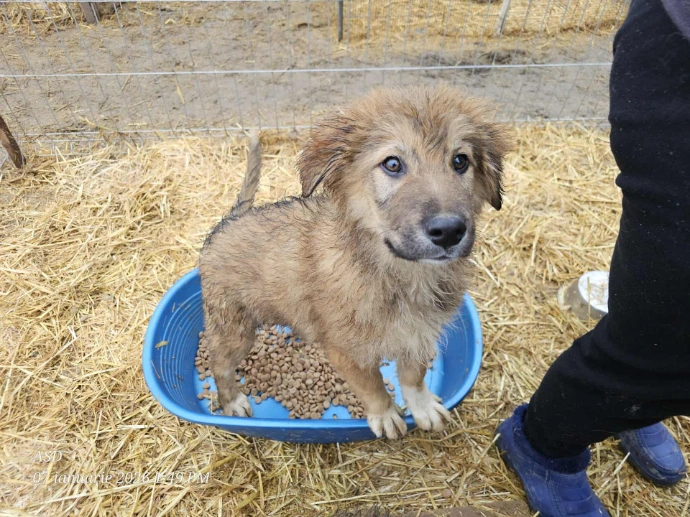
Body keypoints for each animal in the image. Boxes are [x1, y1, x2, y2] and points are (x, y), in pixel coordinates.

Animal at [199, 84, 511, 439]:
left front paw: (421, 406)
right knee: (220, 365)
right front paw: (385, 414)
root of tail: (231, 219)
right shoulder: (345, 351)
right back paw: (231, 401)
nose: (448, 231)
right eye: (392, 164)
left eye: (460, 161)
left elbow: (413, 375)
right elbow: (371, 384)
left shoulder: (418, 336)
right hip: (234, 328)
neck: (400, 276)